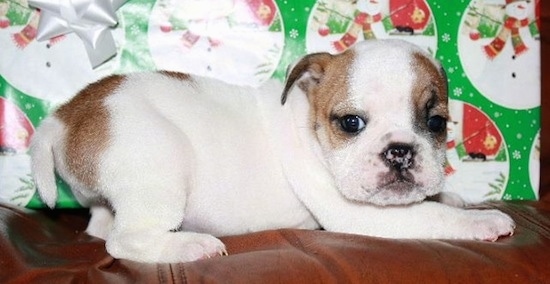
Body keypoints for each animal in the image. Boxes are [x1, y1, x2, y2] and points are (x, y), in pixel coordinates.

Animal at [30, 38, 516, 262]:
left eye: (436, 123)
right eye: (351, 123)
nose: (400, 151)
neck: (309, 119)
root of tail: (66, 115)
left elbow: (434, 200)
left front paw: (454, 196)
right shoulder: (358, 214)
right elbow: (433, 215)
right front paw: (484, 220)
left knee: (101, 226)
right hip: (159, 168)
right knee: (124, 239)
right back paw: (189, 246)